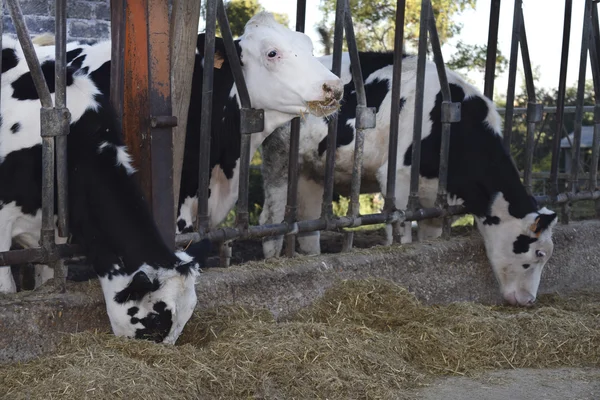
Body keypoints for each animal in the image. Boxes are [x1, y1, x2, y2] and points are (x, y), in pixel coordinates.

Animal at [260, 50, 560, 306]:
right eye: (538, 253)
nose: (529, 300)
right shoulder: (398, 176)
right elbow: (400, 233)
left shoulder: (435, 198)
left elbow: (430, 235)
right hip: (280, 155)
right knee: (270, 219)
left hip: (313, 171)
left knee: (309, 227)